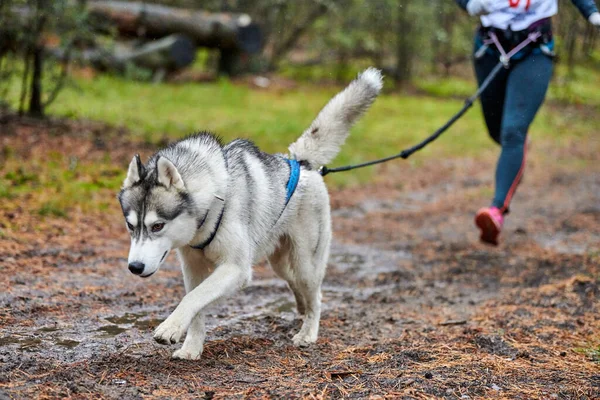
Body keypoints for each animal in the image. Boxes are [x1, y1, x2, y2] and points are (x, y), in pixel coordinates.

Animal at [118, 68, 382, 360]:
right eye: (131, 226)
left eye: (157, 226)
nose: (134, 267)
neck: (211, 203)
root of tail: (300, 163)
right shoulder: (193, 269)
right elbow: (196, 306)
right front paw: (191, 348)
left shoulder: (236, 269)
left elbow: (193, 298)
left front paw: (171, 327)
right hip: (279, 264)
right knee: (296, 286)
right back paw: (301, 310)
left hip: (306, 264)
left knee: (316, 296)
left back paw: (308, 332)